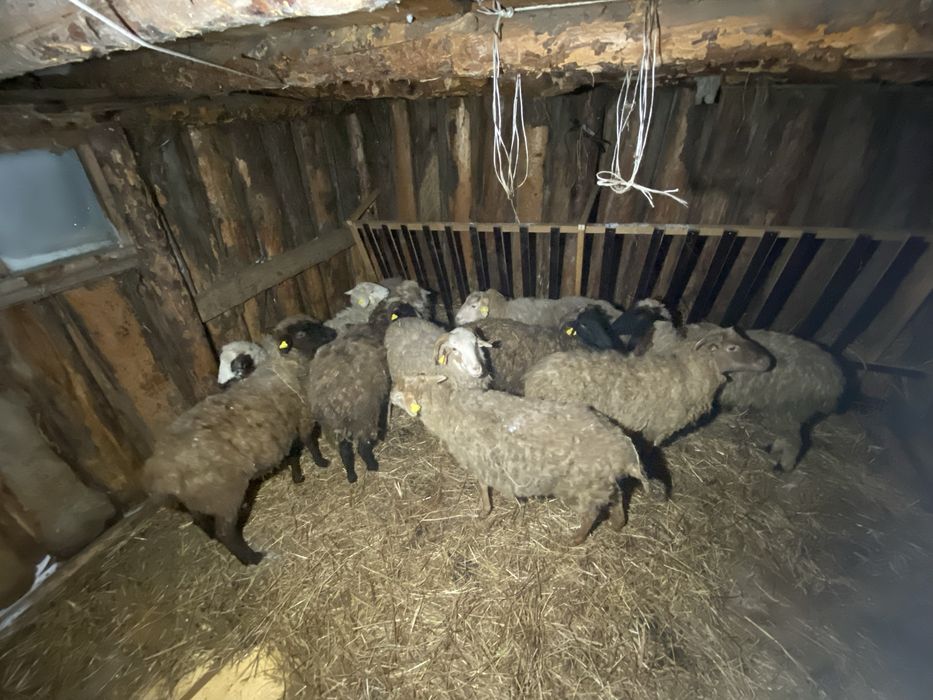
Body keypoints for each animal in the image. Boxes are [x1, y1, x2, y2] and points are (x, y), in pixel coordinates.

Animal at [144, 332, 315, 566]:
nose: (222, 387)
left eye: (239, 366)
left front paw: (297, 478)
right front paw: (307, 472)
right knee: (226, 532)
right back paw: (253, 558)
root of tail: (161, 474)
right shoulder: (299, 419)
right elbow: (301, 450)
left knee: (200, 521)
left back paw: (212, 536)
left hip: (198, 500)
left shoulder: (286, 430)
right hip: (223, 495)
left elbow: (292, 456)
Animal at [304, 299, 419, 483]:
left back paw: (351, 476)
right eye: (407, 311)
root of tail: (331, 396)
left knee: (344, 450)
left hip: (334, 423)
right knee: (362, 448)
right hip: (362, 415)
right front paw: (382, 435)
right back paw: (373, 466)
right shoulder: (383, 390)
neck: (377, 327)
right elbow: (385, 412)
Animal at [391, 375, 647, 545]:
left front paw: (487, 511)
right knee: (617, 496)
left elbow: (483, 487)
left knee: (592, 514)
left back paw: (575, 538)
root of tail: (622, 450)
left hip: (581, 487)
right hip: (599, 483)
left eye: (403, 387)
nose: (391, 392)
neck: (449, 411)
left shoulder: (481, 464)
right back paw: (618, 523)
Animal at [650, 322, 845, 470]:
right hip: (783, 411)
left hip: (789, 410)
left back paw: (784, 466)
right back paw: (773, 449)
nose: (767, 361)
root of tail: (836, 381)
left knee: (794, 441)